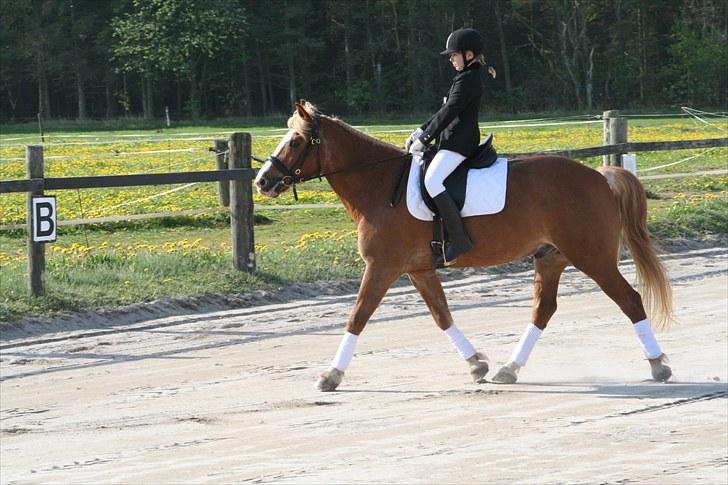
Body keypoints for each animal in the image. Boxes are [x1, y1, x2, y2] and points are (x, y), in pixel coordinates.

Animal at [255, 101, 672, 390]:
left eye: (296, 140)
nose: (263, 181)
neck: (379, 185)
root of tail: (600, 176)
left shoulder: (382, 266)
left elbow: (357, 316)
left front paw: (330, 375)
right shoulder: (418, 269)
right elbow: (441, 315)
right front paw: (477, 364)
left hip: (592, 257)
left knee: (630, 300)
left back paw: (658, 364)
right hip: (550, 258)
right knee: (543, 310)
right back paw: (508, 369)